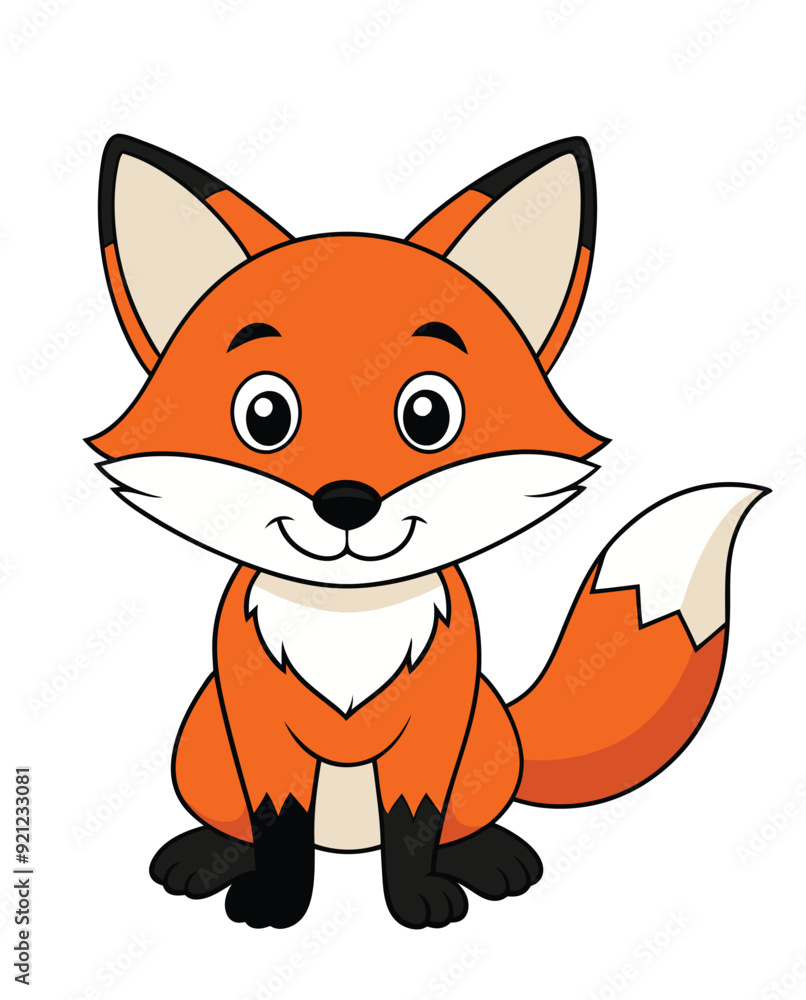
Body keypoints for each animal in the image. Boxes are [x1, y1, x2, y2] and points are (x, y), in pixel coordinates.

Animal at [89, 133, 766, 929]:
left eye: (428, 414)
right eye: (265, 415)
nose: (346, 502)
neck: (350, 622)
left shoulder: (436, 723)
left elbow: (415, 823)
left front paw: (416, 899)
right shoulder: (257, 727)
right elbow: (278, 825)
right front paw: (277, 901)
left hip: (487, 744)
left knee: (468, 820)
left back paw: (490, 856)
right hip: (200, 746)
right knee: (232, 823)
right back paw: (204, 856)